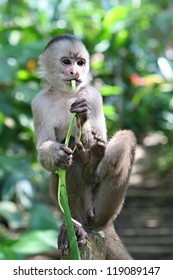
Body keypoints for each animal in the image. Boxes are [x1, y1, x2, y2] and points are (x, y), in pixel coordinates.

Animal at [31, 34, 137, 260]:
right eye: (66, 62)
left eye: (80, 62)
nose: (75, 72)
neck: (65, 95)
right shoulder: (38, 103)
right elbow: (44, 149)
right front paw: (57, 153)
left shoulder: (93, 95)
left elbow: (101, 136)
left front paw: (83, 118)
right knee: (69, 154)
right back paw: (75, 225)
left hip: (101, 207)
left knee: (124, 139)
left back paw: (92, 164)